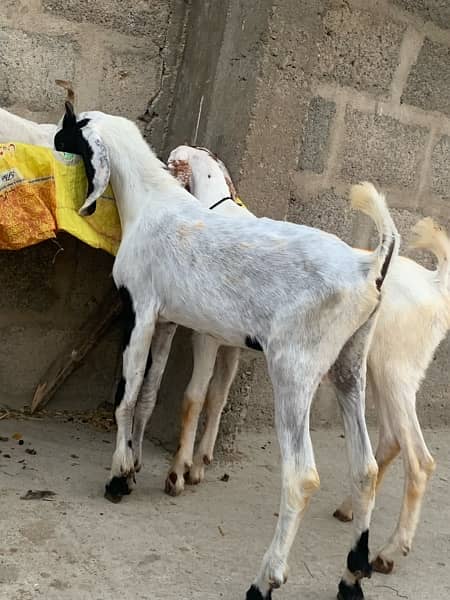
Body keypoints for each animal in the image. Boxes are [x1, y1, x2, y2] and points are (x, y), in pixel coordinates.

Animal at [54, 102, 400, 600]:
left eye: (71, 129)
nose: (53, 140)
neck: (152, 203)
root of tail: (368, 266)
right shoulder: (167, 322)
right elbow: (149, 395)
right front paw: (137, 465)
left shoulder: (140, 309)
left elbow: (126, 394)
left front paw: (118, 476)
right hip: (349, 369)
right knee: (366, 469)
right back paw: (352, 576)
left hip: (294, 371)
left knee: (302, 476)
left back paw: (264, 581)